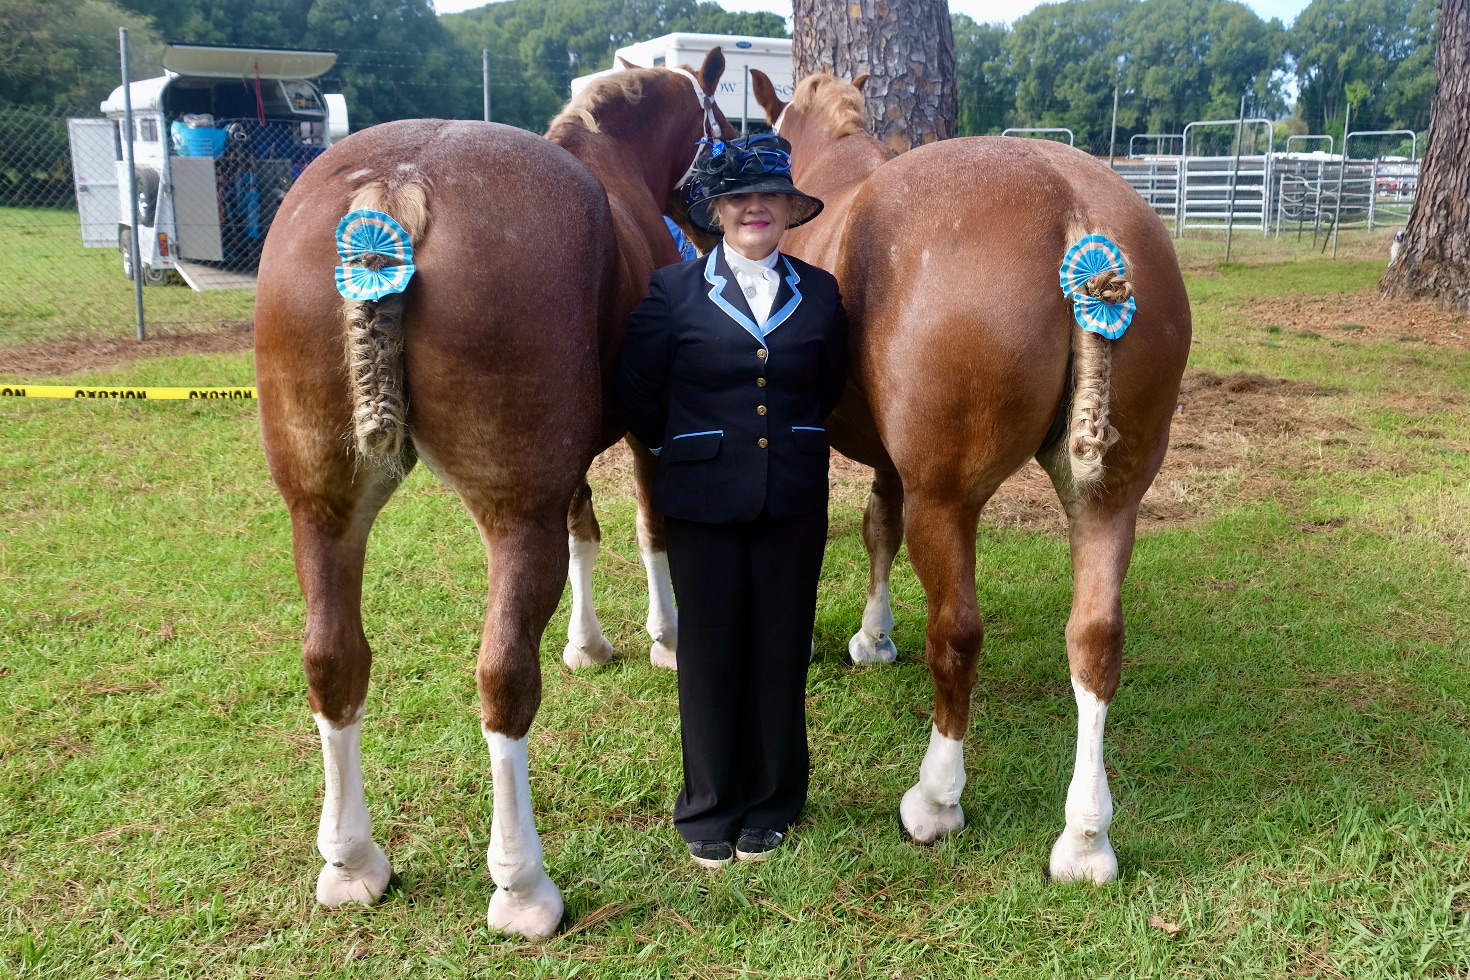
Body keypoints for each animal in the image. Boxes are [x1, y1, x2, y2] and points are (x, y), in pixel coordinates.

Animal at [254, 50, 730, 941]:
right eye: (722, 127)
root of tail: (397, 187)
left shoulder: (567, 467)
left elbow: (586, 532)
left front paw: (588, 644)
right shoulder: (647, 433)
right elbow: (649, 529)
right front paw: (665, 638)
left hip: (323, 511)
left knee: (333, 661)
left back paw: (353, 863)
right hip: (511, 514)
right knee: (504, 679)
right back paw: (522, 886)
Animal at [748, 71, 1191, 882]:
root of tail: (1077, 215)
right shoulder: (891, 461)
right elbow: (878, 526)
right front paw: (874, 635)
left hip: (948, 498)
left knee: (957, 636)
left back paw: (935, 800)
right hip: (1111, 496)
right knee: (1096, 638)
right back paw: (1085, 840)